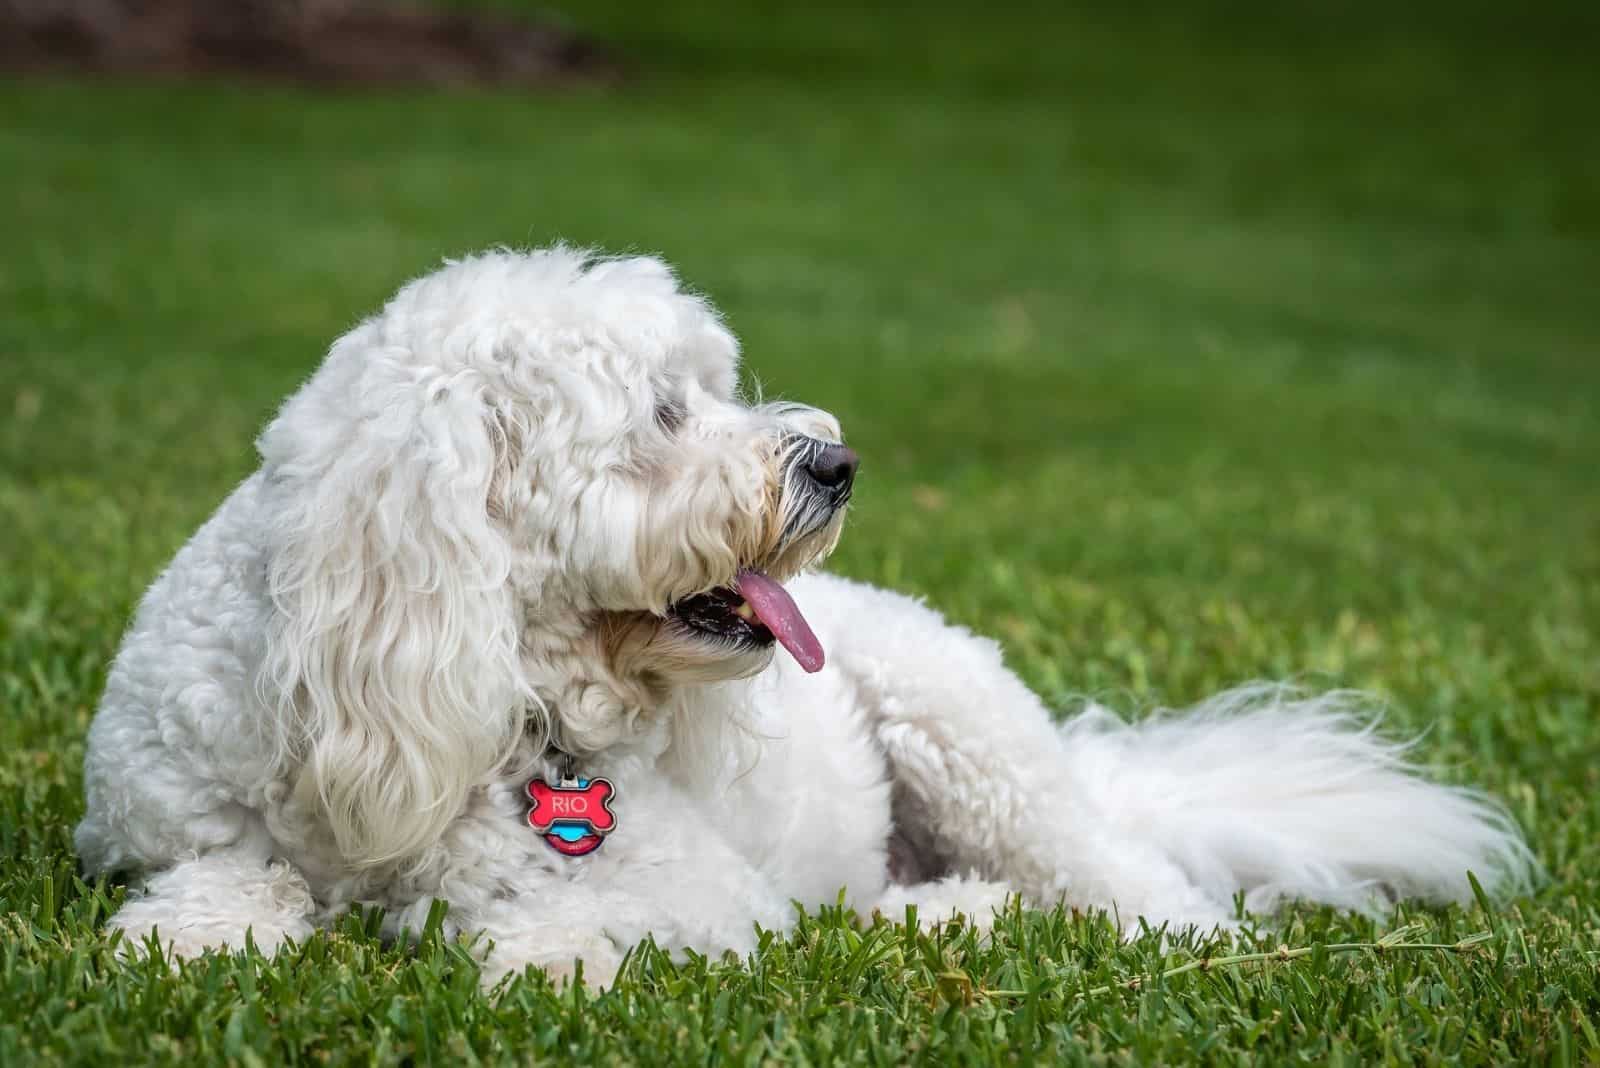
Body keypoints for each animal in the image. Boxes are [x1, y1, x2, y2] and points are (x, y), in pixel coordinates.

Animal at [78, 247, 1536, 984]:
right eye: (664, 415)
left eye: (717, 385)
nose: (834, 463)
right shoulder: (161, 829)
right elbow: (217, 887)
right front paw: (201, 937)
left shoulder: (694, 890)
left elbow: (542, 927)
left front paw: (527, 950)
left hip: (976, 746)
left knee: (1132, 900)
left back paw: (979, 916)